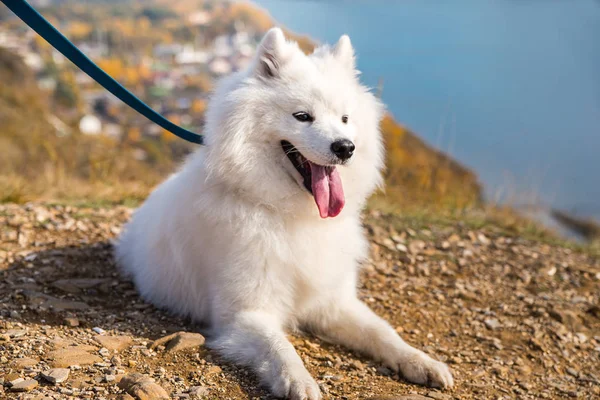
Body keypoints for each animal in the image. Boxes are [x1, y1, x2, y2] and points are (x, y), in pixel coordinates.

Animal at [116, 26, 454, 398]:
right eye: (302, 116)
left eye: (345, 118)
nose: (345, 147)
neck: (292, 214)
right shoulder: (244, 313)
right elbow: (280, 347)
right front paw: (299, 381)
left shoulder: (333, 301)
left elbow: (381, 331)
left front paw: (420, 361)